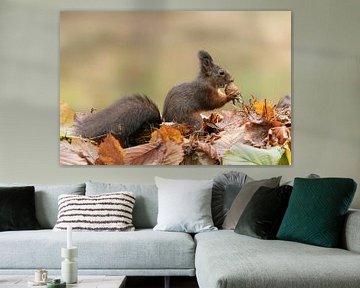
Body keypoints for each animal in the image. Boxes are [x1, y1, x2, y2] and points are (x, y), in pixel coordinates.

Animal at [74, 49, 239, 147]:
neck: (206, 80)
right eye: (221, 72)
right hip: (192, 120)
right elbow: (213, 103)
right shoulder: (203, 92)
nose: (232, 79)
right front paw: (230, 95)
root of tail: (162, 123)